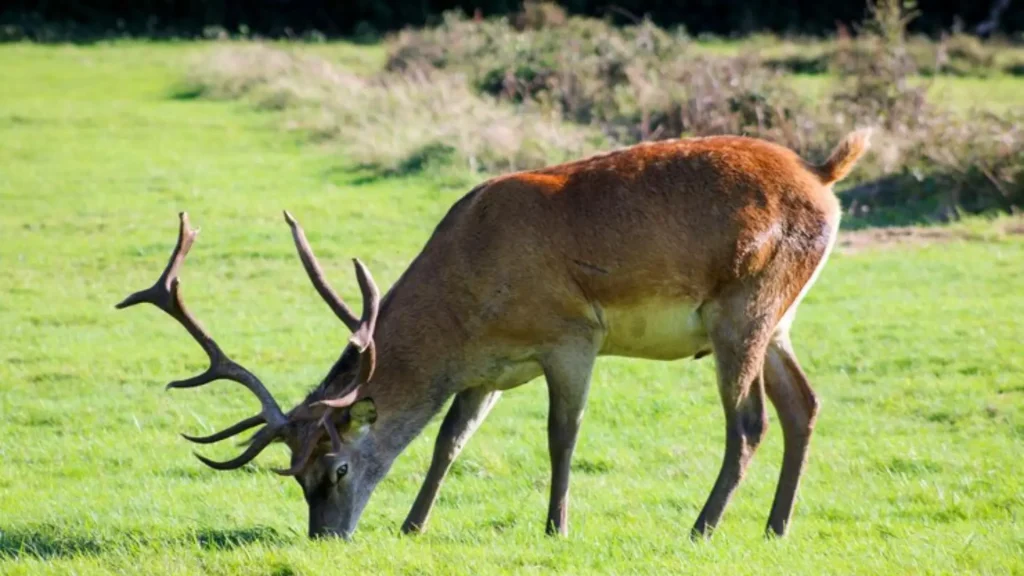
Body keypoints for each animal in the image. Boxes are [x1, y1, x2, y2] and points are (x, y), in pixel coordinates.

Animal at [117, 128, 871, 540]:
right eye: (293, 475)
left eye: (335, 469)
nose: (325, 538)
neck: (472, 308)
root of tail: (823, 175)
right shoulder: (491, 370)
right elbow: (450, 440)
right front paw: (412, 524)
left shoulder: (572, 336)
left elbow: (562, 436)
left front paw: (556, 525)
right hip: (778, 318)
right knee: (804, 405)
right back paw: (776, 526)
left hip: (745, 306)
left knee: (749, 421)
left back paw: (702, 527)